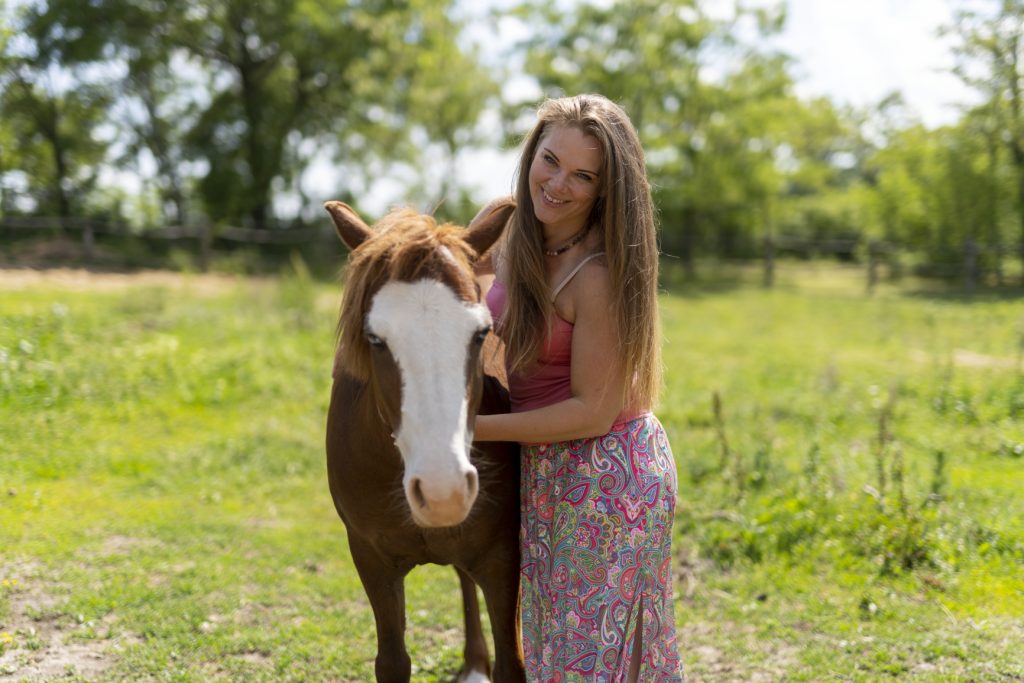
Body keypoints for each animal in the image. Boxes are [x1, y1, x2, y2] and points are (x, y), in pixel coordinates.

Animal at [323, 198, 524, 683]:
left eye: (481, 333)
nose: (441, 491)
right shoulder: (371, 560)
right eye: (375, 338)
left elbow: (513, 663)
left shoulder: (503, 556)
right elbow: (393, 662)